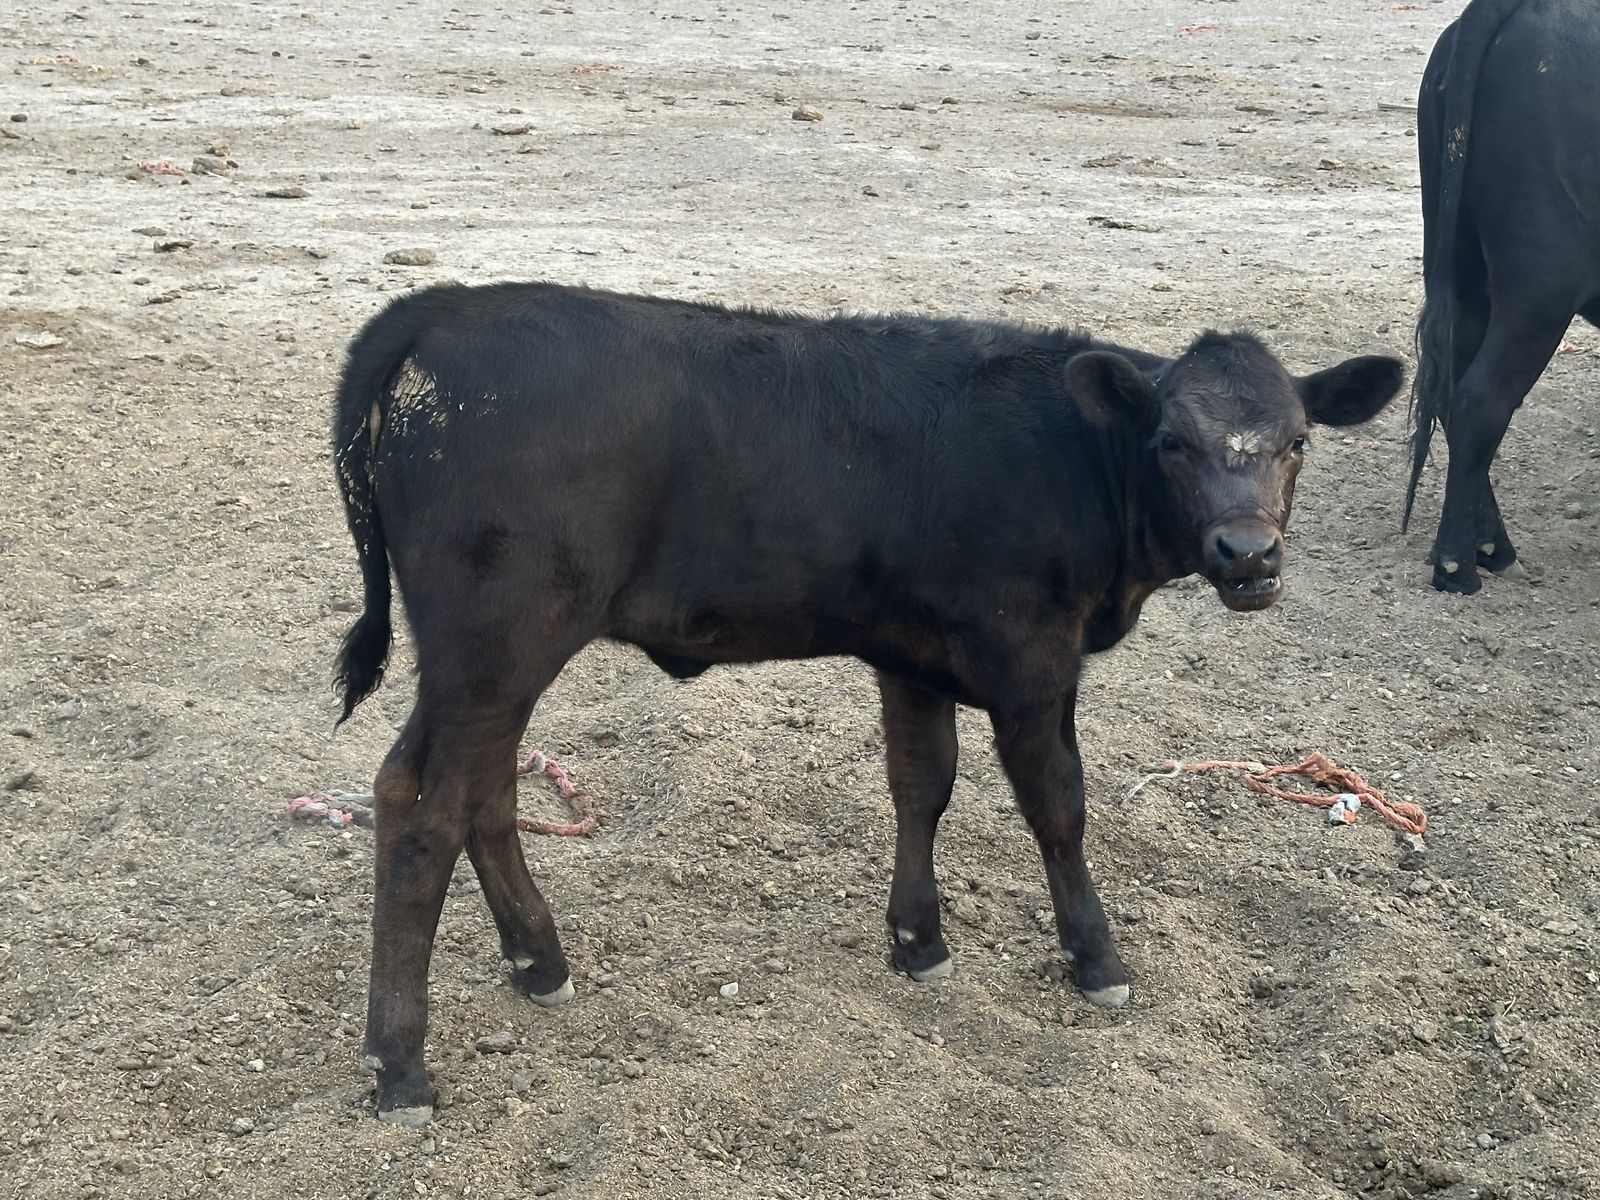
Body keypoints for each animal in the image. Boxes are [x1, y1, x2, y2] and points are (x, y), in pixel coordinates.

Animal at [331, 281, 1401, 1125]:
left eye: (1297, 442)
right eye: (1172, 441)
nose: (1248, 556)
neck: (1074, 458)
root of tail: (446, 309)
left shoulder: (913, 655)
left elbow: (920, 784)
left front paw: (918, 941)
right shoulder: (1031, 660)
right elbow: (1057, 807)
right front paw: (1096, 958)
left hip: (471, 668)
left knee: (448, 793)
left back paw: (538, 962)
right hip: (499, 646)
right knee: (431, 822)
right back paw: (401, 1066)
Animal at [1405, 0, 1600, 593]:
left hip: (1464, 271)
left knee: (1454, 391)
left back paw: (1490, 545)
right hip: (1540, 284)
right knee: (1481, 399)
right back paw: (1457, 565)